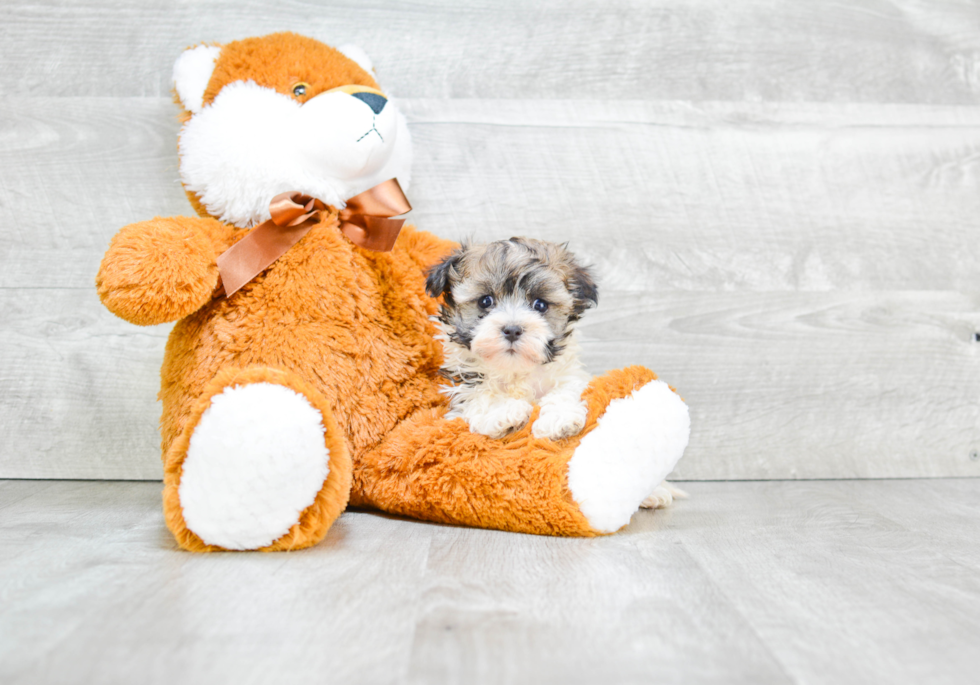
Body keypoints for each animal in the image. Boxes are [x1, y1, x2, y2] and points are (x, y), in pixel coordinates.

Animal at [426, 236, 596, 438]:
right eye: (485, 301)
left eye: (540, 305)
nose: (512, 330)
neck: (514, 369)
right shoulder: (467, 385)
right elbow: (480, 396)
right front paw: (503, 412)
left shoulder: (569, 374)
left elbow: (566, 388)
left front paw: (559, 418)